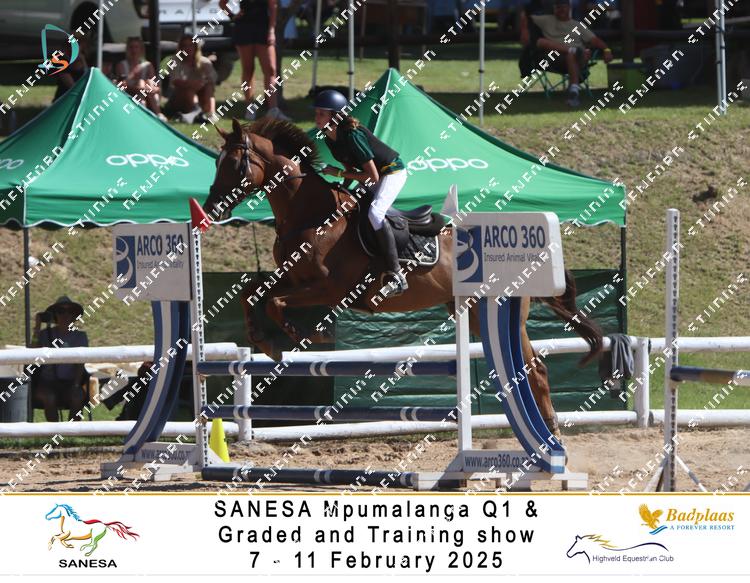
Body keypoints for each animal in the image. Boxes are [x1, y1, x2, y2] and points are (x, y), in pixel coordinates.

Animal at [202, 117, 603, 437]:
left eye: (235, 163)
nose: (210, 209)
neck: (311, 215)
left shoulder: (330, 288)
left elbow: (275, 302)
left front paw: (304, 336)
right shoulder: (293, 278)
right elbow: (254, 292)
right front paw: (262, 340)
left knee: (537, 370)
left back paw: (550, 436)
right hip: (472, 313)